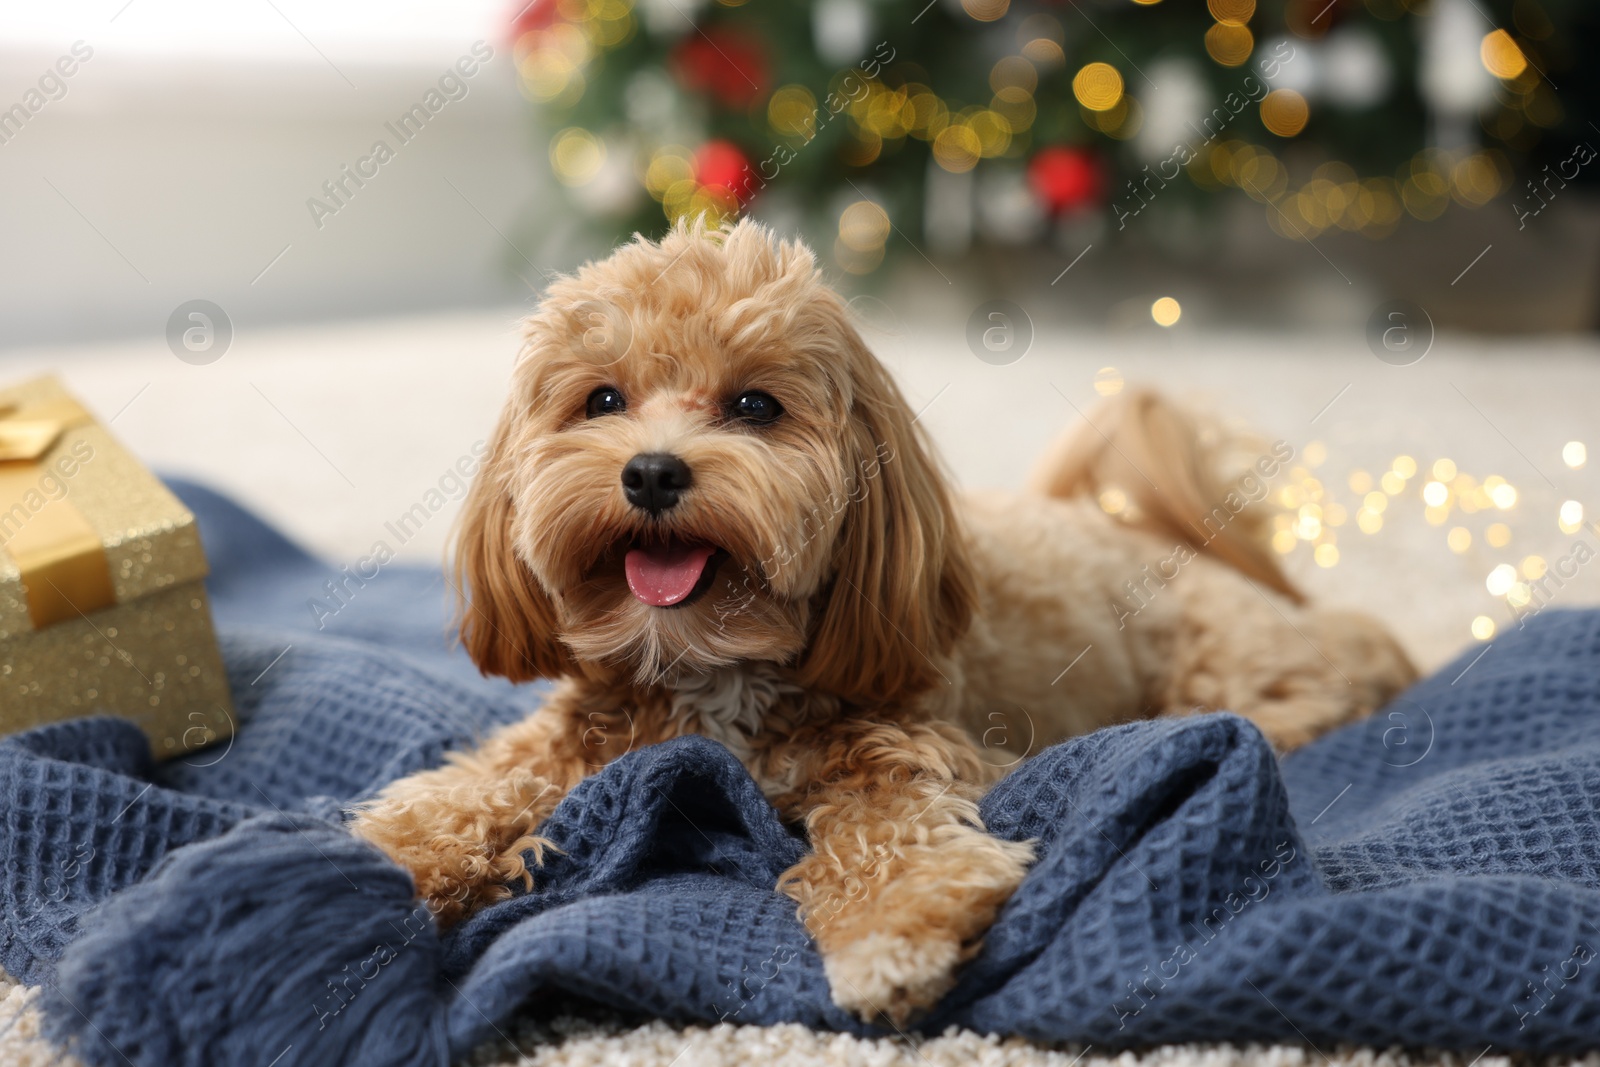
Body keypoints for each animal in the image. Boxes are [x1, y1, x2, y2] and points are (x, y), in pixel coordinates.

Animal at [350, 217, 1414, 1023]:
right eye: (600, 399)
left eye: (755, 406)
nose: (651, 471)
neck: (713, 668)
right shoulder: (580, 734)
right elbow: (469, 788)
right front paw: (383, 855)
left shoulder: (908, 746)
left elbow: (888, 836)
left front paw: (891, 936)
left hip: (1231, 659)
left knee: (1341, 671)